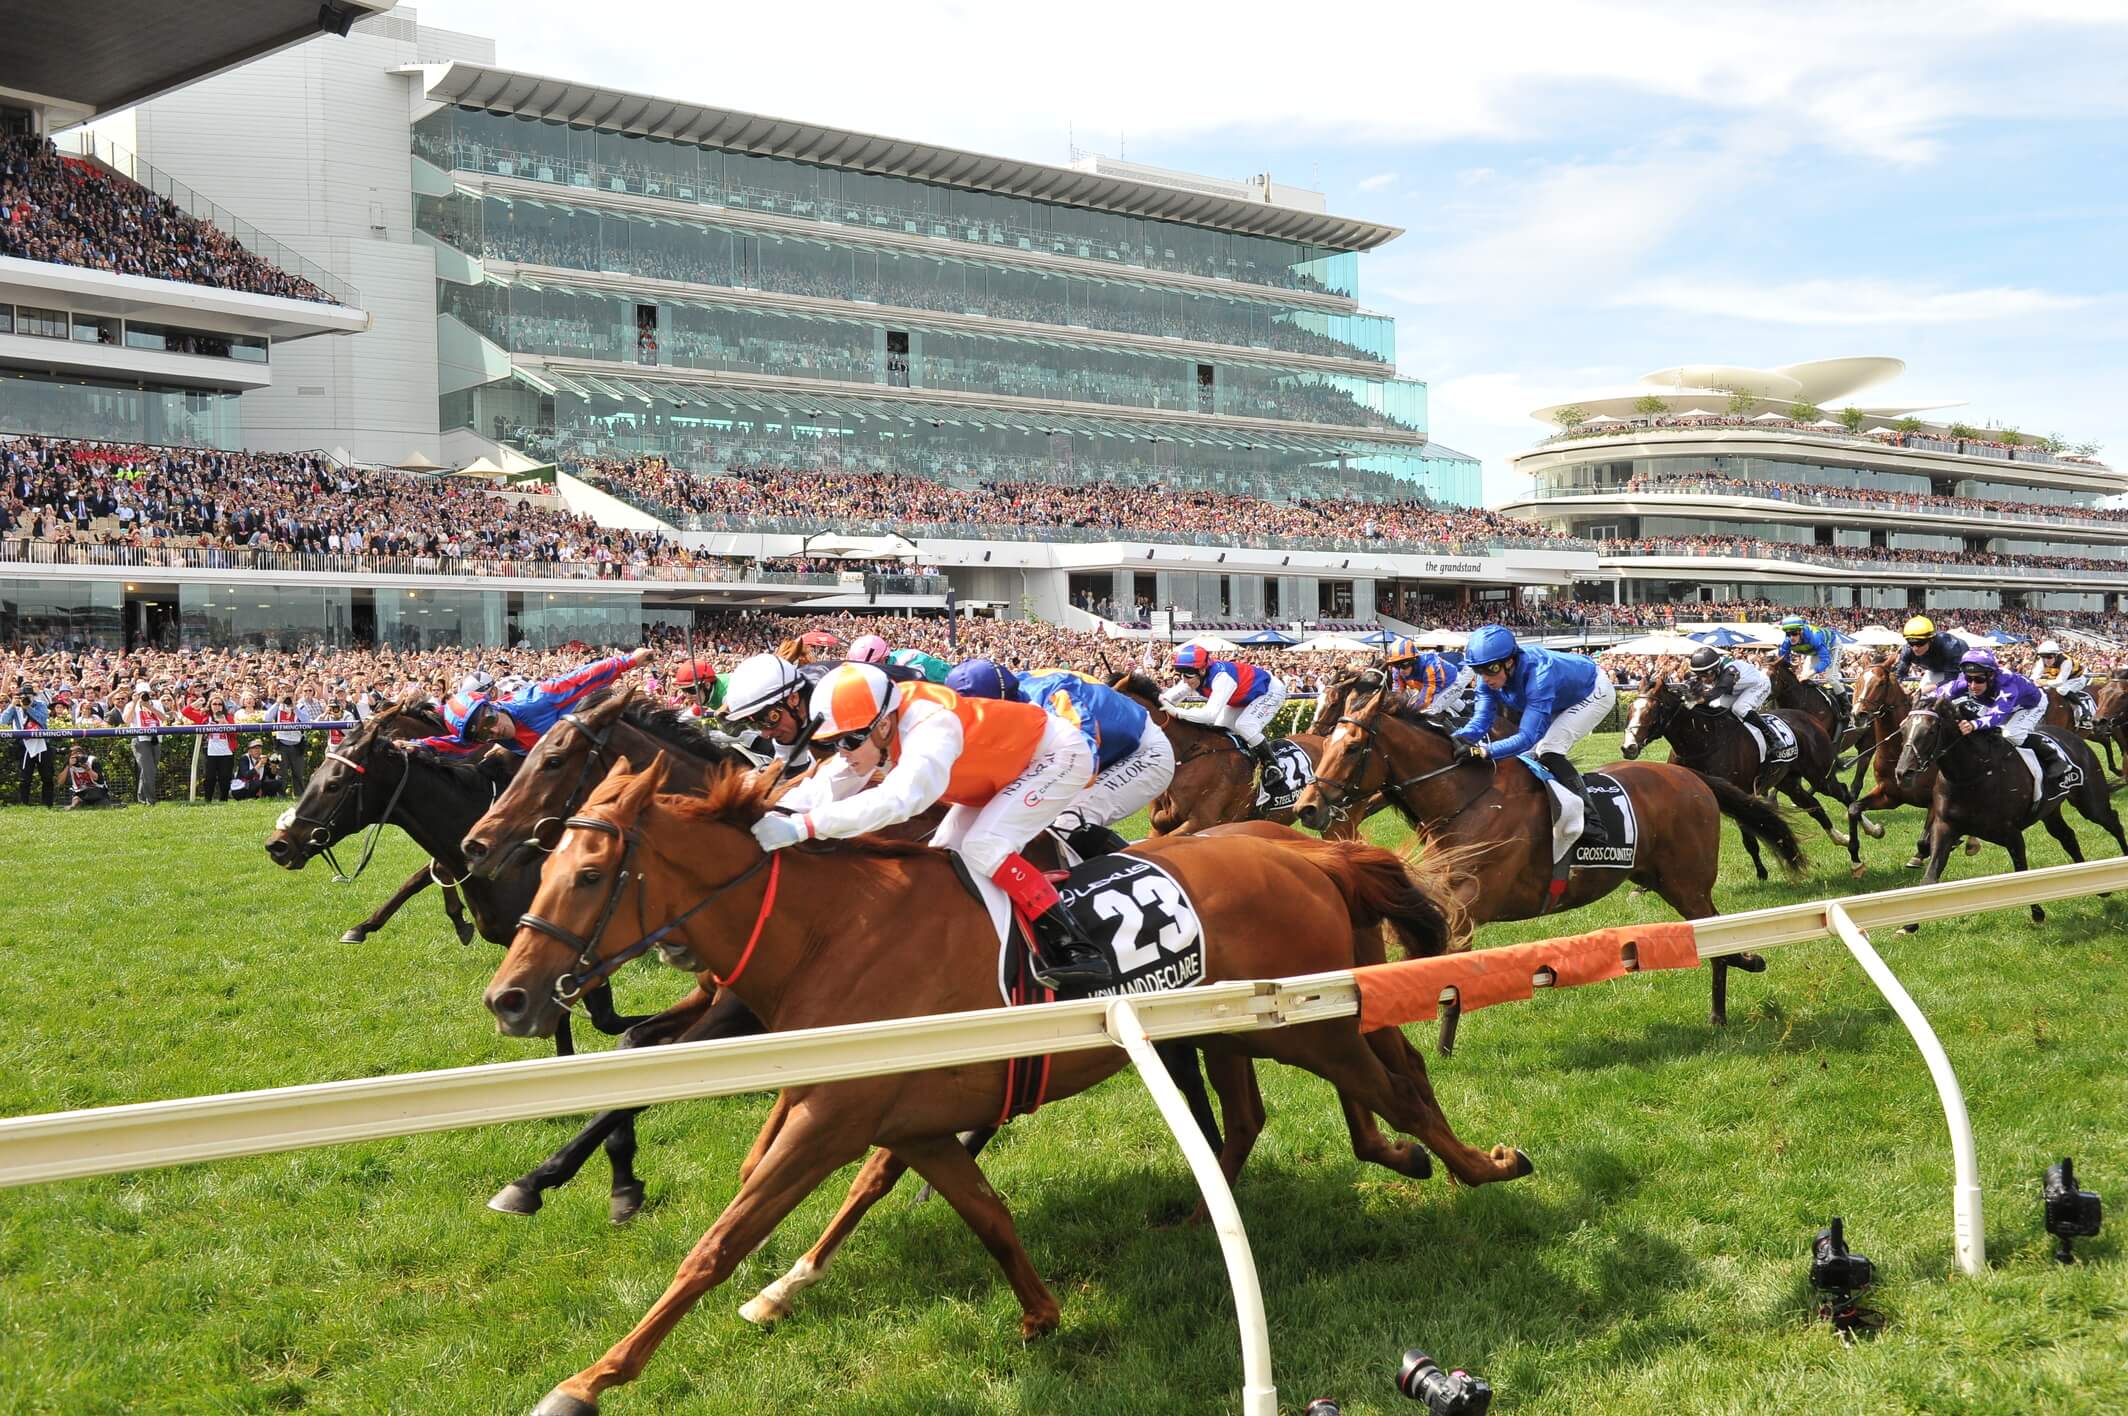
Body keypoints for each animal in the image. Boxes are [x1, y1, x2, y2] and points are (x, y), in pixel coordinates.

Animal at [487, 758, 1515, 1405]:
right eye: (544, 864)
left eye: (588, 874)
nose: (509, 998)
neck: (833, 931)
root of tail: (1307, 850)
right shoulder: (899, 1115)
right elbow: (981, 1208)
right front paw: (1039, 1313)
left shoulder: (832, 1115)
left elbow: (718, 1243)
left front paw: (589, 1381)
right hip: (1254, 1024)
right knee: (1307, 1097)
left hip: (1310, 1021)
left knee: (1396, 1084)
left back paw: (1479, 1166)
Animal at [1293, 685, 1796, 1026]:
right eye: (1325, 744)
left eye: (1352, 747)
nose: (1307, 808)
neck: (1465, 798)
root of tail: (1693, 778)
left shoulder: (1470, 904)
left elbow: (1449, 967)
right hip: (1662, 880)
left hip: (1688, 884)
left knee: (1715, 936)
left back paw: (1730, 991)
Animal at [1898, 698, 2128, 928]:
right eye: (1903, 729)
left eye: (1930, 731)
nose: (1903, 773)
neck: (1972, 774)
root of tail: (2076, 738)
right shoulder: (1945, 828)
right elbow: (1931, 874)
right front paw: (1909, 924)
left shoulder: (2012, 833)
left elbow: (2021, 871)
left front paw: (2037, 913)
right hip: (2050, 811)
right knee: (2068, 837)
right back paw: (2098, 887)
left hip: (2091, 802)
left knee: (2113, 822)